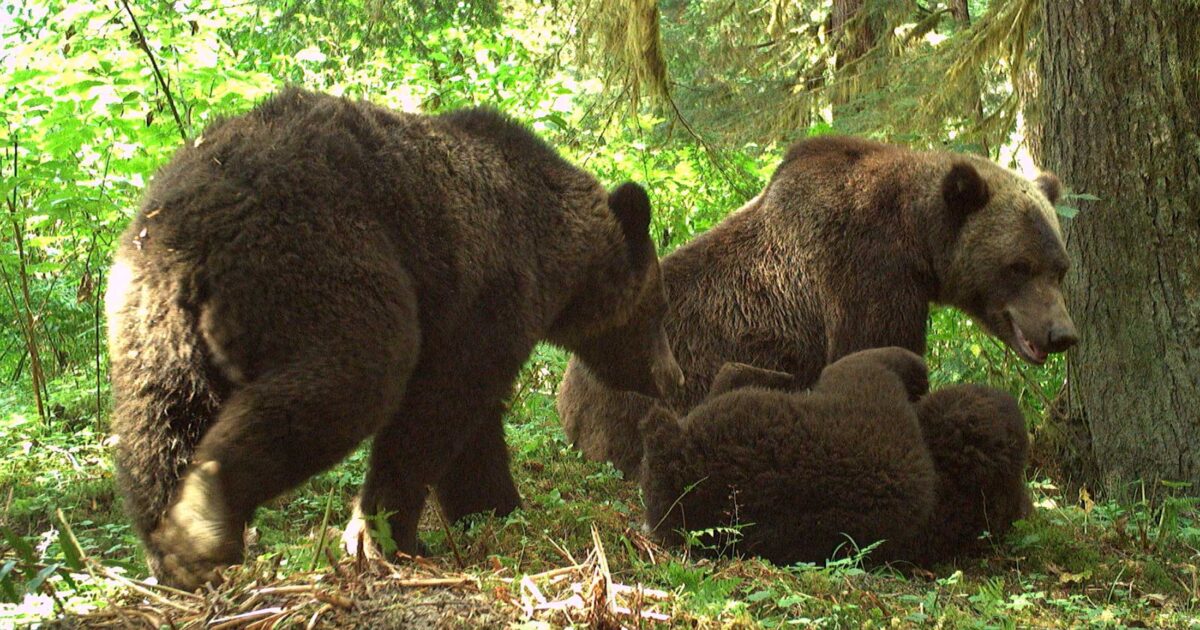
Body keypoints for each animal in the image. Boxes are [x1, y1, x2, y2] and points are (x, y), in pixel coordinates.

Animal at [105, 87, 684, 590]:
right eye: (658, 308)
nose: (672, 376)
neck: (560, 258)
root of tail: (190, 228)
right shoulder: (486, 295)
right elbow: (434, 413)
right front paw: (391, 536)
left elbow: (475, 428)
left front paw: (494, 506)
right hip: (319, 255)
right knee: (353, 377)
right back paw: (205, 516)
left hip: (150, 322)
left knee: (159, 426)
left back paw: (174, 550)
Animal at [558, 135, 1077, 479]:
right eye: (1019, 265)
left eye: (1060, 267)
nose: (1062, 334)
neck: (915, 239)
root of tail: (567, 392)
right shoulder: (868, 275)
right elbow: (877, 358)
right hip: (644, 399)